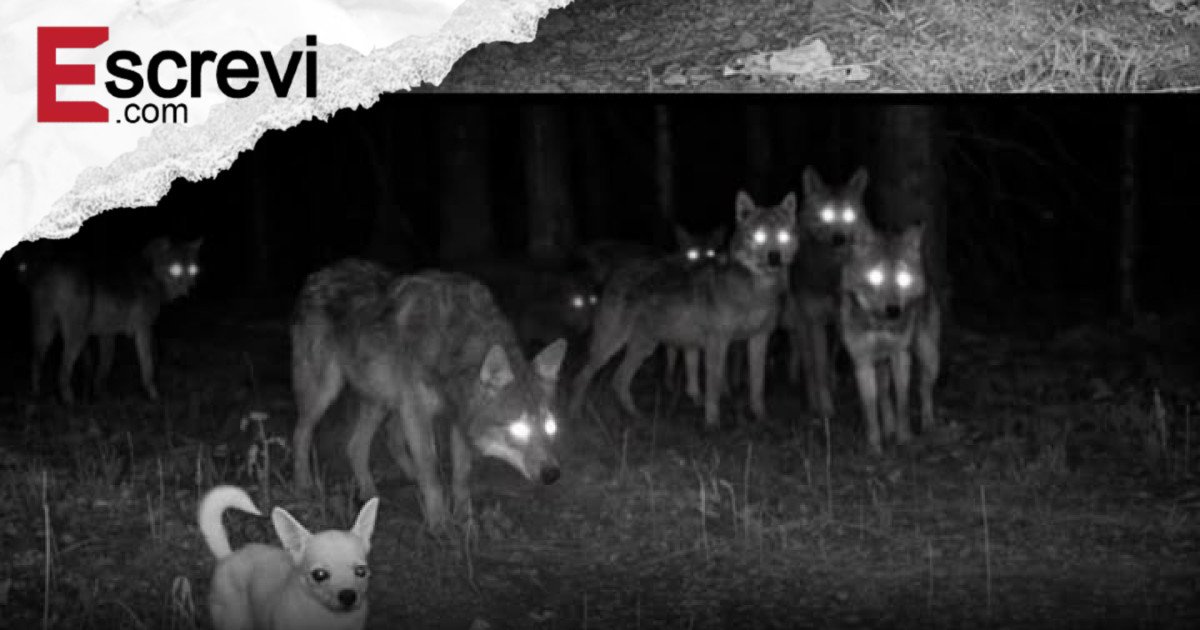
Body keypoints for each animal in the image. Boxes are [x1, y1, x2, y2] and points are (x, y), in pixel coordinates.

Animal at [27, 236, 202, 403]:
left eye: (193, 269)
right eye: (176, 268)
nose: (189, 291)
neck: (151, 273)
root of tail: (52, 269)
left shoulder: (107, 334)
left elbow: (103, 369)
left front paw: (99, 396)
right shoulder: (144, 329)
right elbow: (148, 367)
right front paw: (154, 396)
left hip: (45, 333)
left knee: (36, 362)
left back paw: (36, 395)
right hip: (76, 336)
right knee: (61, 371)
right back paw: (69, 401)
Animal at [290, 259, 566, 530]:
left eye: (550, 427)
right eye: (518, 428)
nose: (552, 474)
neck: (455, 340)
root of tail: (319, 273)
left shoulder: (457, 418)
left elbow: (461, 476)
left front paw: (466, 523)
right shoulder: (417, 412)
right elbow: (431, 470)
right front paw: (439, 524)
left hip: (380, 401)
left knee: (357, 445)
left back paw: (372, 494)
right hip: (326, 393)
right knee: (302, 433)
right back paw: (304, 486)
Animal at [569, 192, 797, 430]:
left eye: (782, 235)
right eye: (759, 235)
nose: (774, 257)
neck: (757, 290)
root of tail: (618, 268)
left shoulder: (759, 339)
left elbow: (757, 387)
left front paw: (762, 419)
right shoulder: (717, 342)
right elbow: (713, 390)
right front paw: (712, 425)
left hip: (644, 346)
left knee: (618, 381)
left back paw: (638, 418)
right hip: (610, 346)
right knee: (581, 379)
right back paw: (574, 417)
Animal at [782, 166, 871, 419]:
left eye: (849, 214)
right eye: (826, 214)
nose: (839, 238)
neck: (831, 274)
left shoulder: (844, 320)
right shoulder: (814, 321)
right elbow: (817, 368)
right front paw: (825, 409)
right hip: (801, 323)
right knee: (809, 363)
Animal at [838, 223, 941, 454]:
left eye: (903, 279)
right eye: (875, 276)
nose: (893, 310)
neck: (881, 326)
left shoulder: (901, 355)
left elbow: (903, 401)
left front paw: (905, 440)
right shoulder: (863, 362)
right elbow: (870, 408)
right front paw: (875, 447)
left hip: (930, 357)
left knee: (924, 388)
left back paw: (928, 425)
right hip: (881, 365)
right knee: (884, 395)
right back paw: (889, 429)